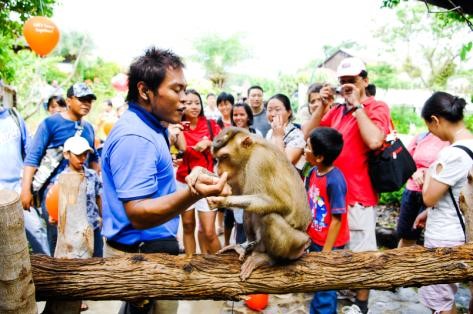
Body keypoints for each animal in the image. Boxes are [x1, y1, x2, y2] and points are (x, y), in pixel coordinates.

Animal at [206, 126, 310, 280]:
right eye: (217, 159)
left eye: (224, 157)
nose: (218, 170)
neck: (250, 152)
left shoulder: (260, 161)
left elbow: (282, 203)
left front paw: (222, 200)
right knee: (250, 210)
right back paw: (246, 246)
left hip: (298, 241)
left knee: (270, 217)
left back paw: (271, 258)